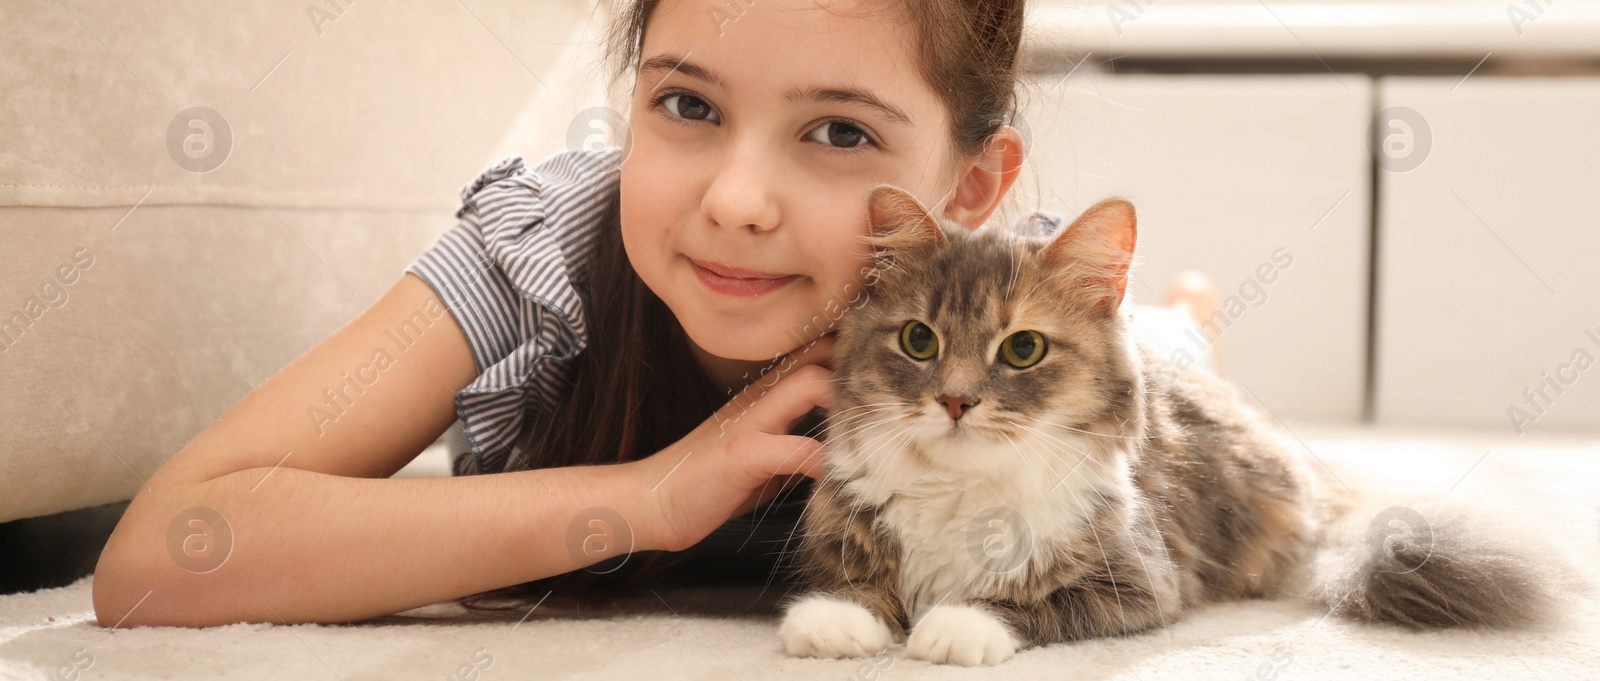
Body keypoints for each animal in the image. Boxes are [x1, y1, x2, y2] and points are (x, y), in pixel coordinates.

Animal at [774, 184, 1574, 665]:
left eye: (1023, 349)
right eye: (919, 341)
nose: (956, 401)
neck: (963, 494)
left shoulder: (1137, 582)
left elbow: (1023, 602)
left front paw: (952, 627)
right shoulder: (842, 537)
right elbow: (857, 586)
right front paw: (833, 623)